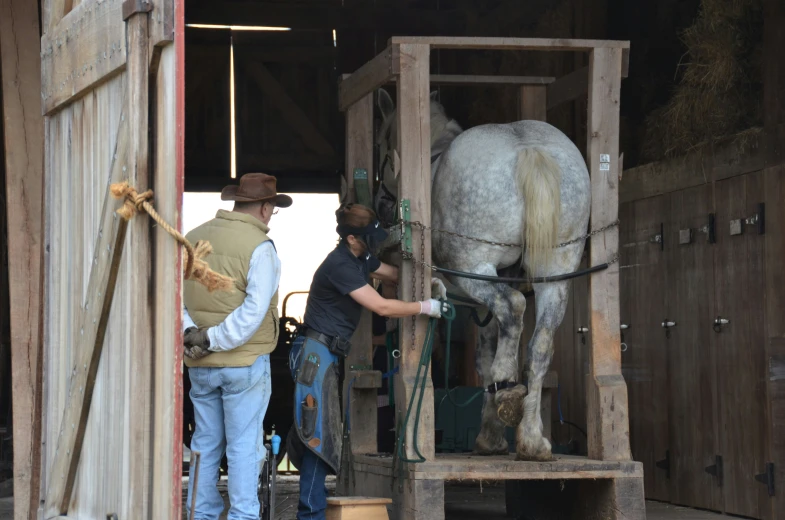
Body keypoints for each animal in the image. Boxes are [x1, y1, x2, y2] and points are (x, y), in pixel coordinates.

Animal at [374, 88, 588, 460]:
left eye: (382, 147)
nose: (381, 205)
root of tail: (529, 149)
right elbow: (491, 350)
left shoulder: (479, 293)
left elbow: (485, 360)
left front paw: (489, 435)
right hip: (556, 274)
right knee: (540, 345)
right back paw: (532, 441)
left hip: (474, 268)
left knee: (514, 307)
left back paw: (508, 393)